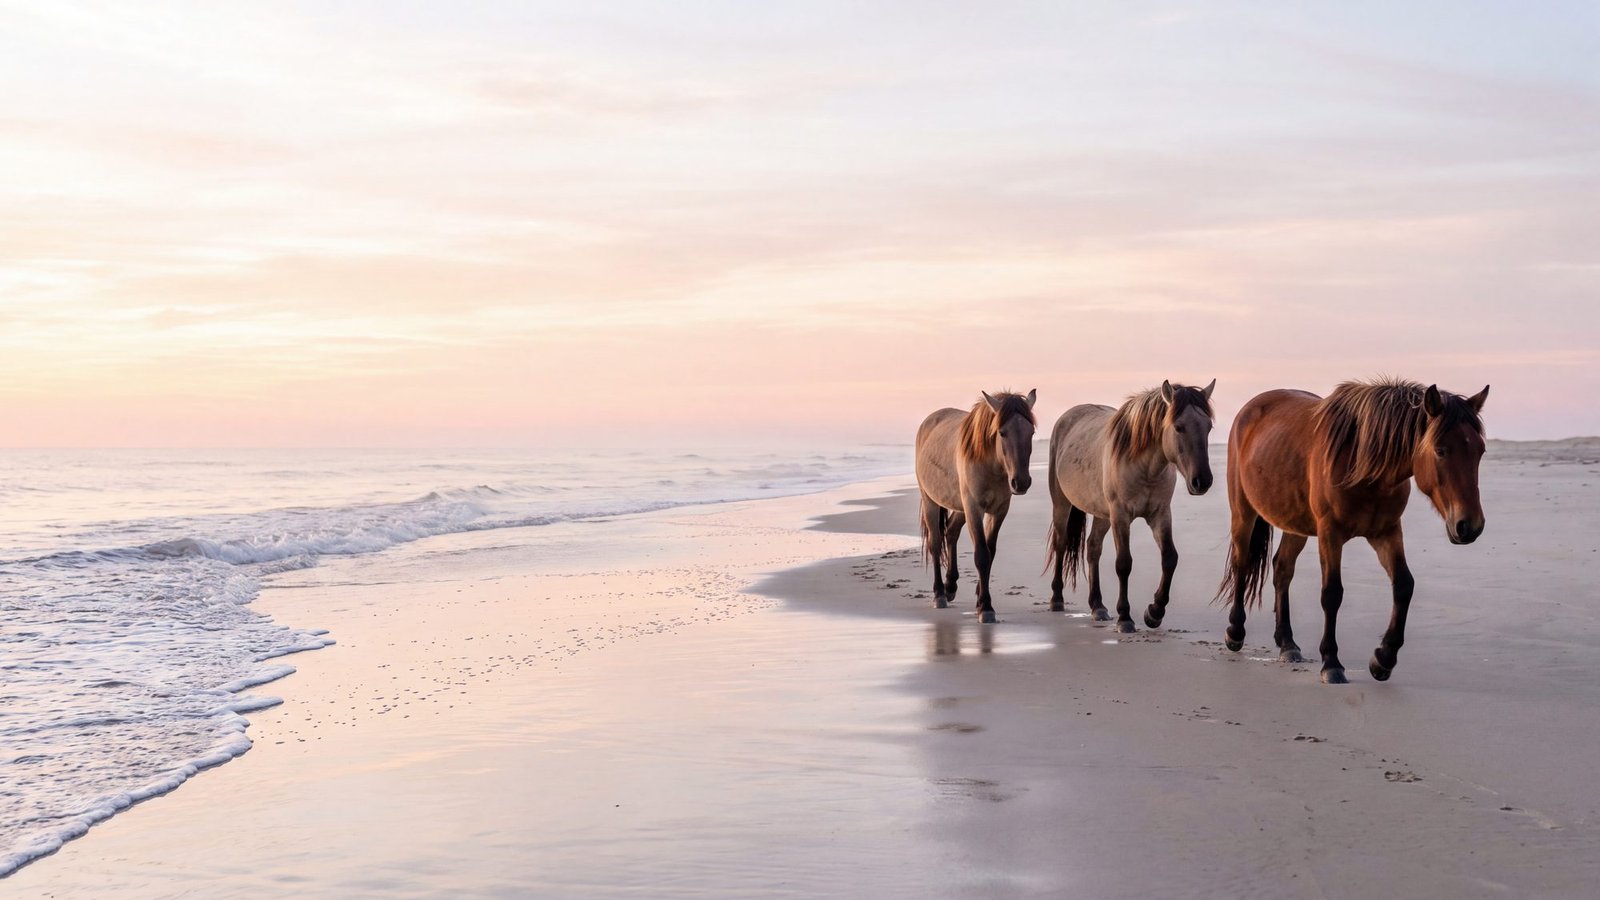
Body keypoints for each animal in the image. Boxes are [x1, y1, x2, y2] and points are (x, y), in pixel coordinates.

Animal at [914, 389, 1037, 623]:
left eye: (1031, 432)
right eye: (1001, 433)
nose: (1021, 482)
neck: (991, 463)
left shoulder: (999, 511)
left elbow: (991, 551)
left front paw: (981, 597)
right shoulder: (974, 508)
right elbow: (981, 554)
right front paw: (986, 607)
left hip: (960, 507)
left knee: (951, 532)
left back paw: (950, 586)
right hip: (931, 501)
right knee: (935, 542)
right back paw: (939, 594)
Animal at [1046, 380, 1216, 633]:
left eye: (1208, 427)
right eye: (1179, 427)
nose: (1202, 481)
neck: (1145, 467)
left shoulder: (1160, 514)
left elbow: (1170, 558)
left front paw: (1154, 612)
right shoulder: (1121, 516)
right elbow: (1124, 564)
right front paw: (1125, 617)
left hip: (1102, 514)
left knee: (1093, 548)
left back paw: (1098, 606)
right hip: (1062, 503)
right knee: (1061, 543)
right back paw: (1057, 599)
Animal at [1218, 378, 1489, 684]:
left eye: (1480, 451)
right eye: (1440, 450)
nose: (1470, 525)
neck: (1362, 463)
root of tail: (1250, 409)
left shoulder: (1387, 532)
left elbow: (1404, 585)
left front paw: (1383, 659)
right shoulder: (1330, 534)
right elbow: (1332, 593)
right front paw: (1331, 662)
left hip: (1295, 523)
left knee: (1283, 569)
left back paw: (1287, 644)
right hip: (1243, 512)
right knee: (1242, 563)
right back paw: (1235, 632)